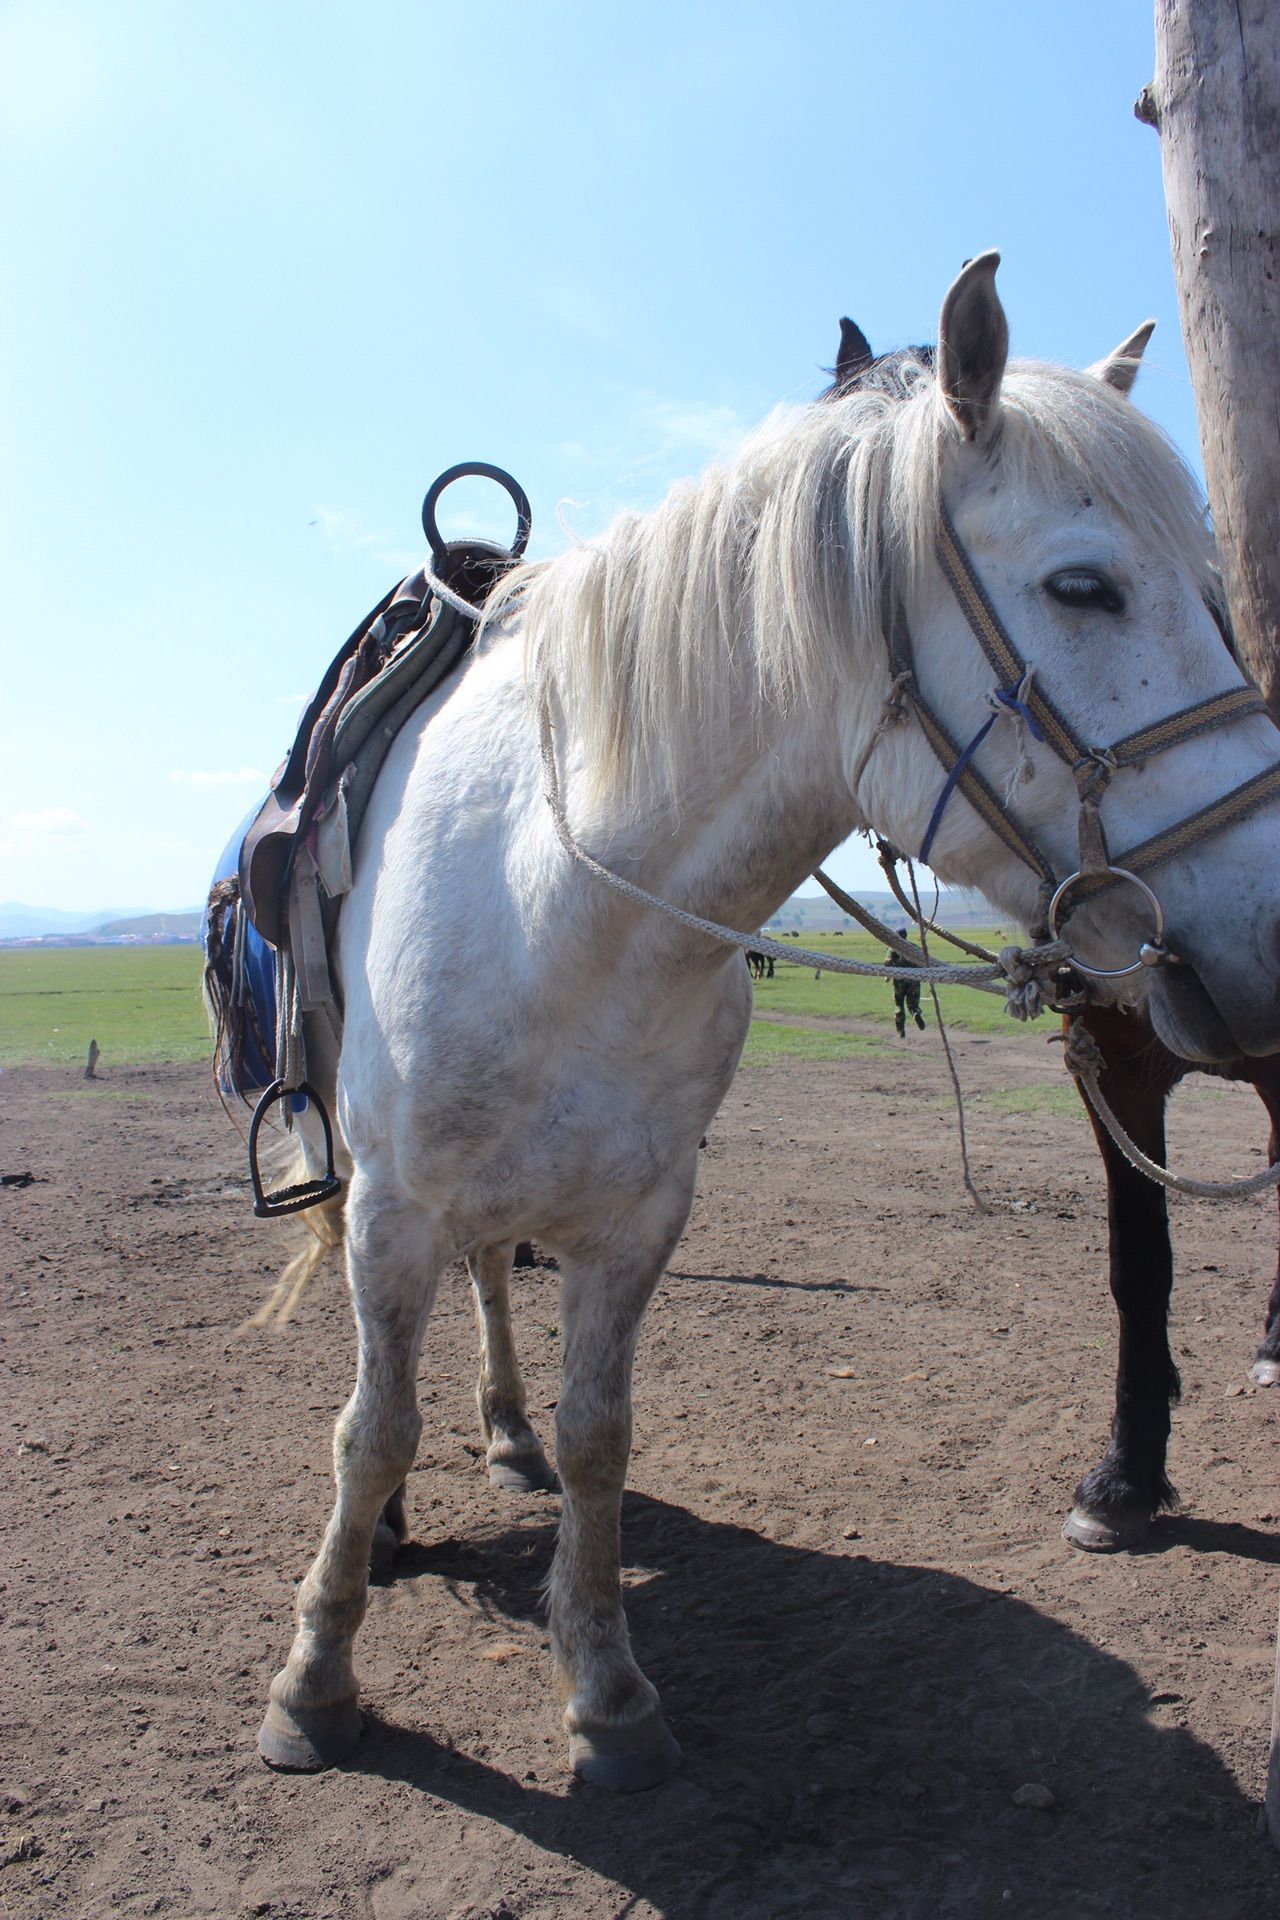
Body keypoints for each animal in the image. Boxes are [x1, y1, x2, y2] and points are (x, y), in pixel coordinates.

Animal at [255, 251, 1280, 1781]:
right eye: (1082, 585)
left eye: (1218, 599)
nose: (1277, 924)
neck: (568, 902)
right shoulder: (392, 1203)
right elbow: (370, 1428)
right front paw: (316, 1680)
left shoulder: (639, 1213)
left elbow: (601, 1434)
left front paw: (607, 1691)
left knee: (495, 1287)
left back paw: (505, 1438)